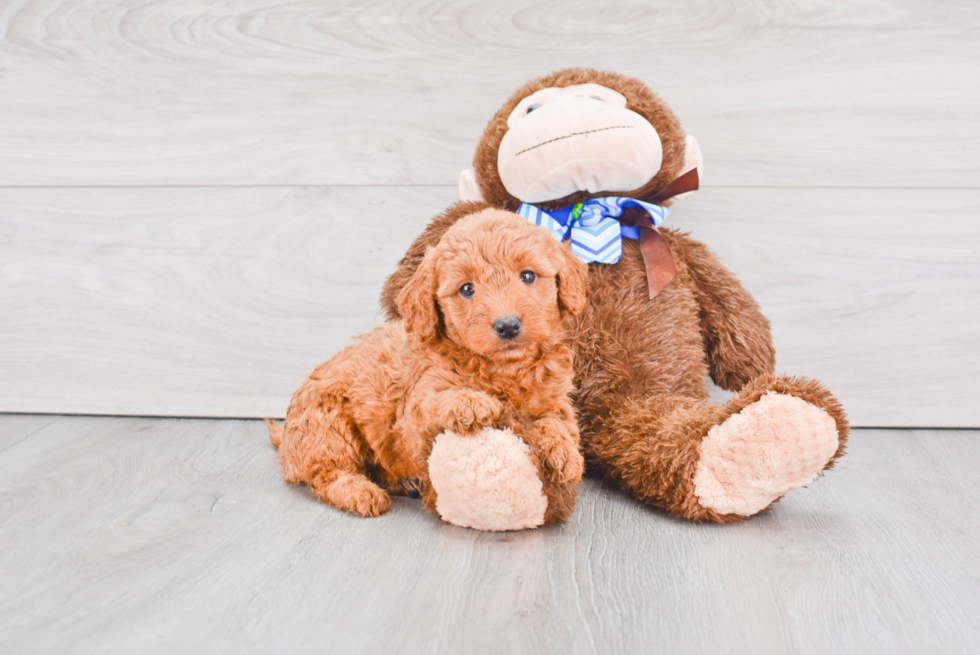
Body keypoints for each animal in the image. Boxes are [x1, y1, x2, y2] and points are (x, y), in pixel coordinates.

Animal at [268, 208, 584, 520]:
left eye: (527, 276)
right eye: (467, 289)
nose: (507, 326)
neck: (504, 368)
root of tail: (287, 441)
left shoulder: (553, 396)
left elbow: (558, 420)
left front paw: (566, 452)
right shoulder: (414, 412)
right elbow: (436, 402)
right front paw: (472, 402)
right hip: (326, 425)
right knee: (326, 473)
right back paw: (360, 492)